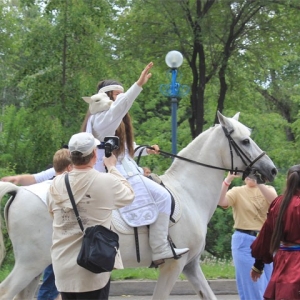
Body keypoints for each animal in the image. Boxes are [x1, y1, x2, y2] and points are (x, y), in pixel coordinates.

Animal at [0, 112, 276, 300]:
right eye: (245, 141)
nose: (271, 169)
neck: (188, 193)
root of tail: (19, 191)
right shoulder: (173, 265)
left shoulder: (191, 266)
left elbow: (208, 294)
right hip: (30, 264)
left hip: (36, 268)